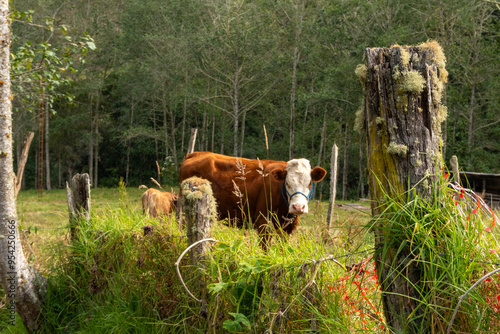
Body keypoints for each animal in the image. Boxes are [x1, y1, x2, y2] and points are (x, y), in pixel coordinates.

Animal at [180, 151, 328, 248]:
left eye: (309, 183)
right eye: (287, 183)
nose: (298, 207)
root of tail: (196, 153)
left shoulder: (289, 227)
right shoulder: (263, 221)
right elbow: (265, 248)